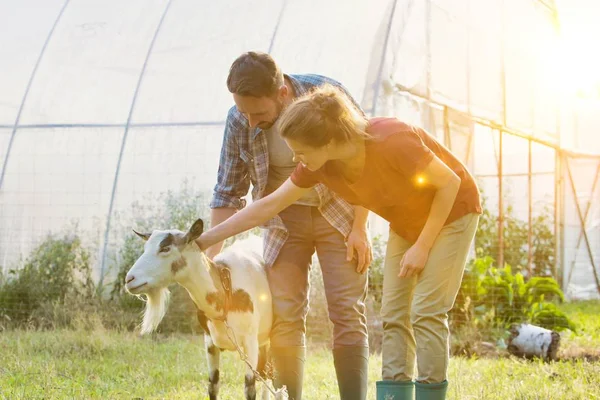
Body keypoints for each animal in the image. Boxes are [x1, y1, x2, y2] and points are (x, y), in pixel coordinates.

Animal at [125, 219, 284, 400]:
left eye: (165, 248)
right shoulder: (209, 342)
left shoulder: (250, 342)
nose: (129, 279)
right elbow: (213, 385)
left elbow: (249, 388)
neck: (226, 291)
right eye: (146, 247)